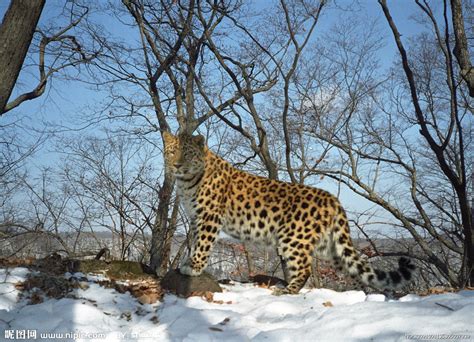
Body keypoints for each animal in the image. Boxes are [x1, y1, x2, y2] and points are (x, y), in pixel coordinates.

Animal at [163, 132, 414, 296]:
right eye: (172, 151)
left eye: (188, 154)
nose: (176, 165)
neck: (186, 182)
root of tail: (332, 199)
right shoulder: (196, 218)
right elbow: (197, 241)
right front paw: (190, 263)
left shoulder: (209, 217)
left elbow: (203, 243)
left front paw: (194, 267)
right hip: (330, 247)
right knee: (352, 268)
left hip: (294, 238)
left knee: (304, 268)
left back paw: (287, 291)